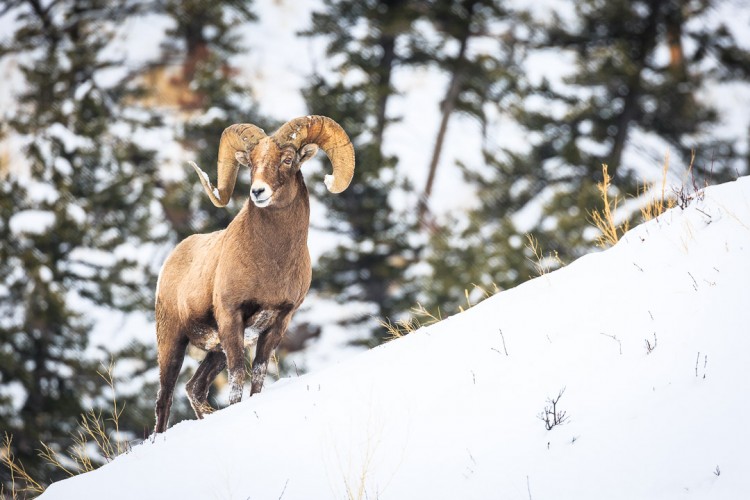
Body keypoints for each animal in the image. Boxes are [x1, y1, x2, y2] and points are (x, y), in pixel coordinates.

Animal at [154, 115, 356, 432]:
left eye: (287, 159)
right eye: (251, 162)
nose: (258, 192)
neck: (271, 262)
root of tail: (172, 259)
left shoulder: (278, 321)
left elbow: (258, 374)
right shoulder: (231, 317)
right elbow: (238, 375)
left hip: (214, 352)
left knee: (194, 388)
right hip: (172, 341)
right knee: (165, 399)